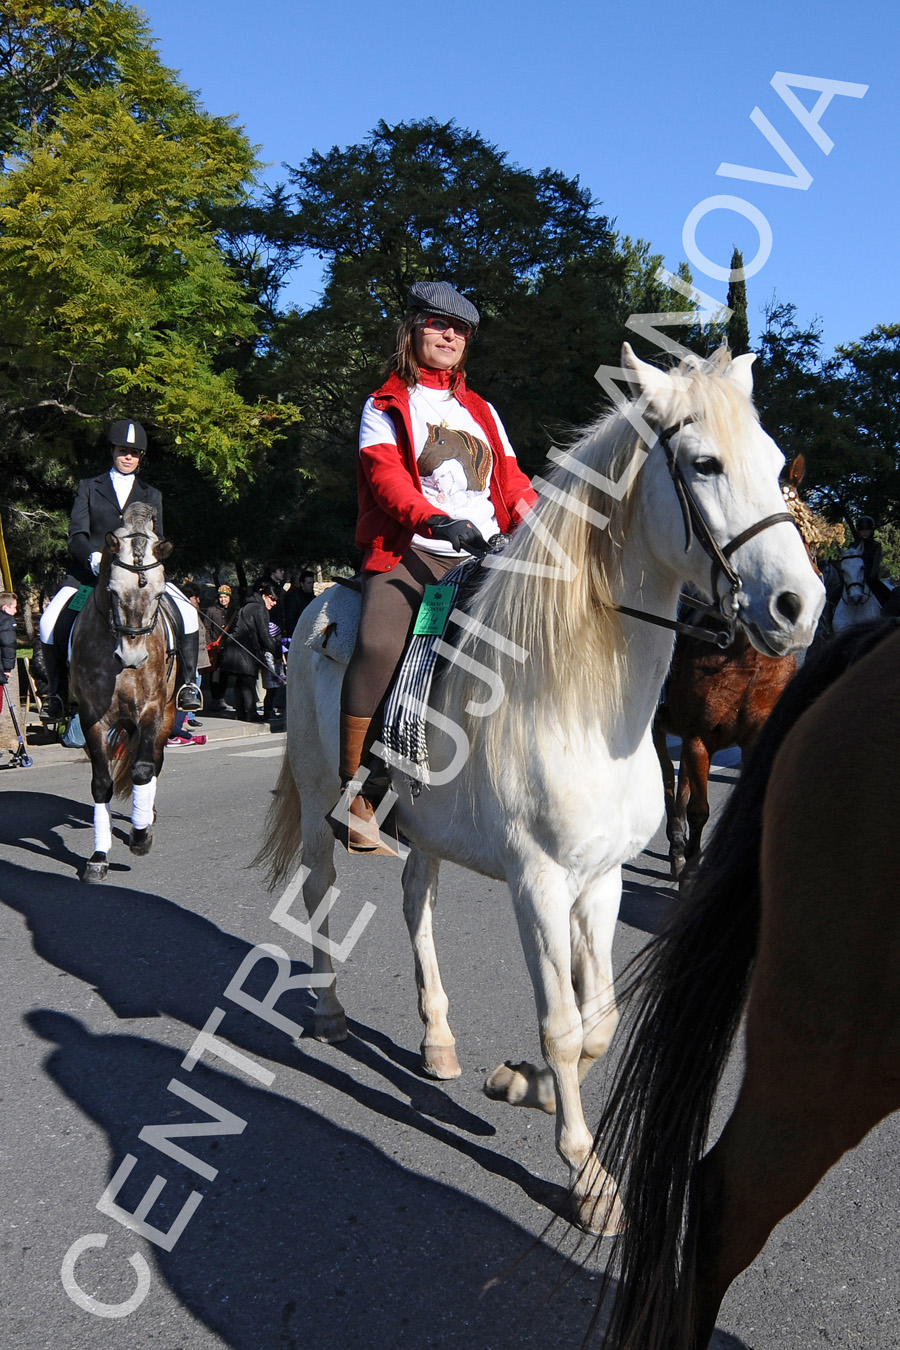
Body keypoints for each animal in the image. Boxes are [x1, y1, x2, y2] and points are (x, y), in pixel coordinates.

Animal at [68, 502, 175, 880]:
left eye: (159, 594)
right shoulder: (92, 718)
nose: (133, 658)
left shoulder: (152, 709)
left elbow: (142, 769)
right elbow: (102, 783)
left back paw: (147, 817)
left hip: (168, 713)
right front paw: (99, 857)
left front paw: (141, 836)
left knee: (153, 761)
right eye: (113, 592)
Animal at [255, 342, 825, 1231]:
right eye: (703, 464)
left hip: (425, 830)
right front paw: (586, 1173)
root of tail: (316, 604)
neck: (580, 700)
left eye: (774, 466)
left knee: (417, 904)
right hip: (322, 804)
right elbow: (560, 1023)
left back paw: (438, 1039)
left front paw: (520, 1084)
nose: (801, 606)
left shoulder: (602, 880)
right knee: (318, 890)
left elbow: (599, 1021)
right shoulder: (540, 883)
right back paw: (329, 1012)